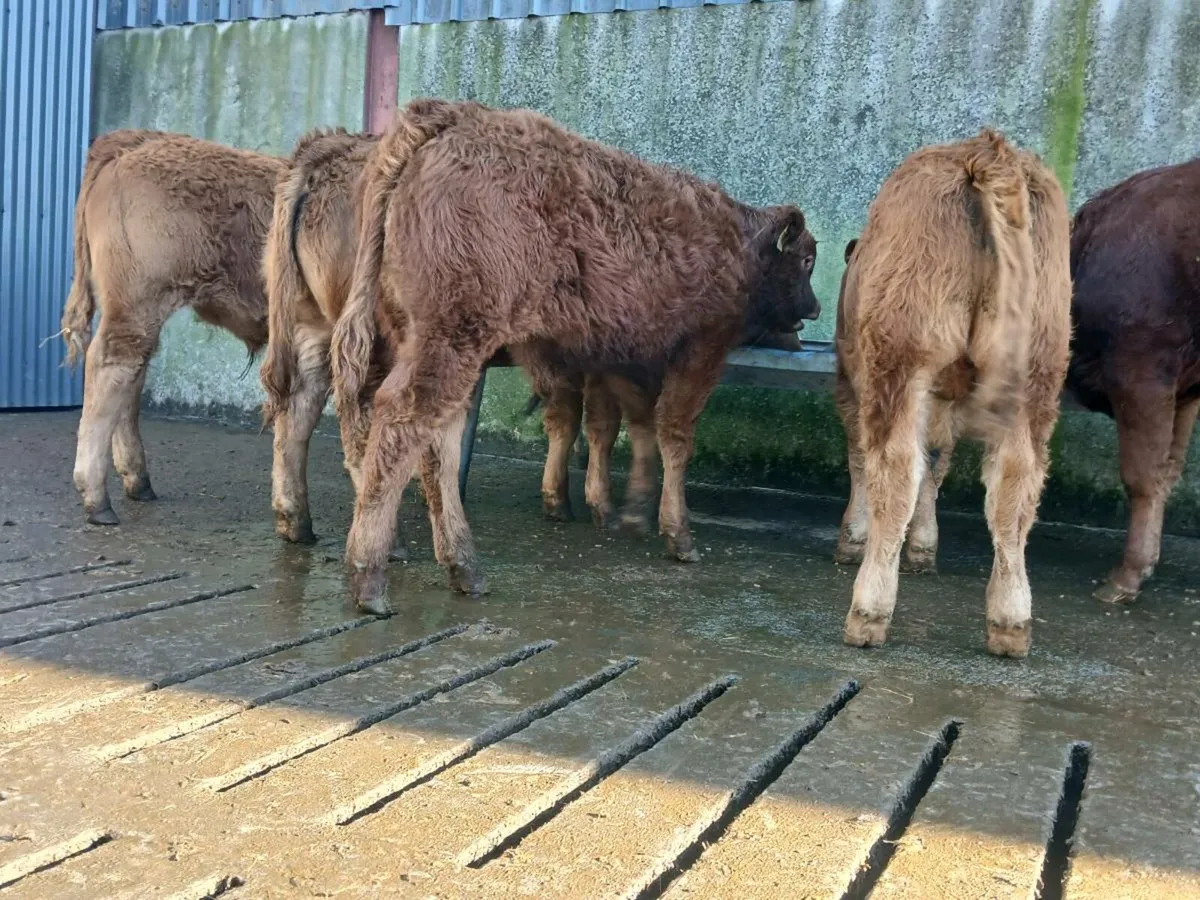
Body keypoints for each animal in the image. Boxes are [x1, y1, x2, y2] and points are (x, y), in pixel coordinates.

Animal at [61, 130, 285, 526]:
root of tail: (135, 141)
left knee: (131, 376)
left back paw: (137, 481)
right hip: (137, 303)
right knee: (111, 366)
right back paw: (97, 499)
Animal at [330, 98, 821, 614]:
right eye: (807, 259)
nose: (814, 307)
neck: (737, 241)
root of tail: (451, 116)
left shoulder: (620, 359)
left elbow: (631, 426)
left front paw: (629, 511)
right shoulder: (699, 351)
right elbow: (674, 434)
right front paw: (678, 534)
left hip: (428, 339)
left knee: (437, 441)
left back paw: (464, 567)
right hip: (451, 336)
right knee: (404, 420)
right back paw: (371, 578)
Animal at [832, 129, 1071, 658]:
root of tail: (986, 150)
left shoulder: (849, 386)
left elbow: (866, 462)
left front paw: (855, 538)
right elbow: (937, 466)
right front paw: (924, 547)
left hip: (900, 358)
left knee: (896, 468)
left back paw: (868, 611)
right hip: (1039, 369)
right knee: (1016, 481)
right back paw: (1010, 620)